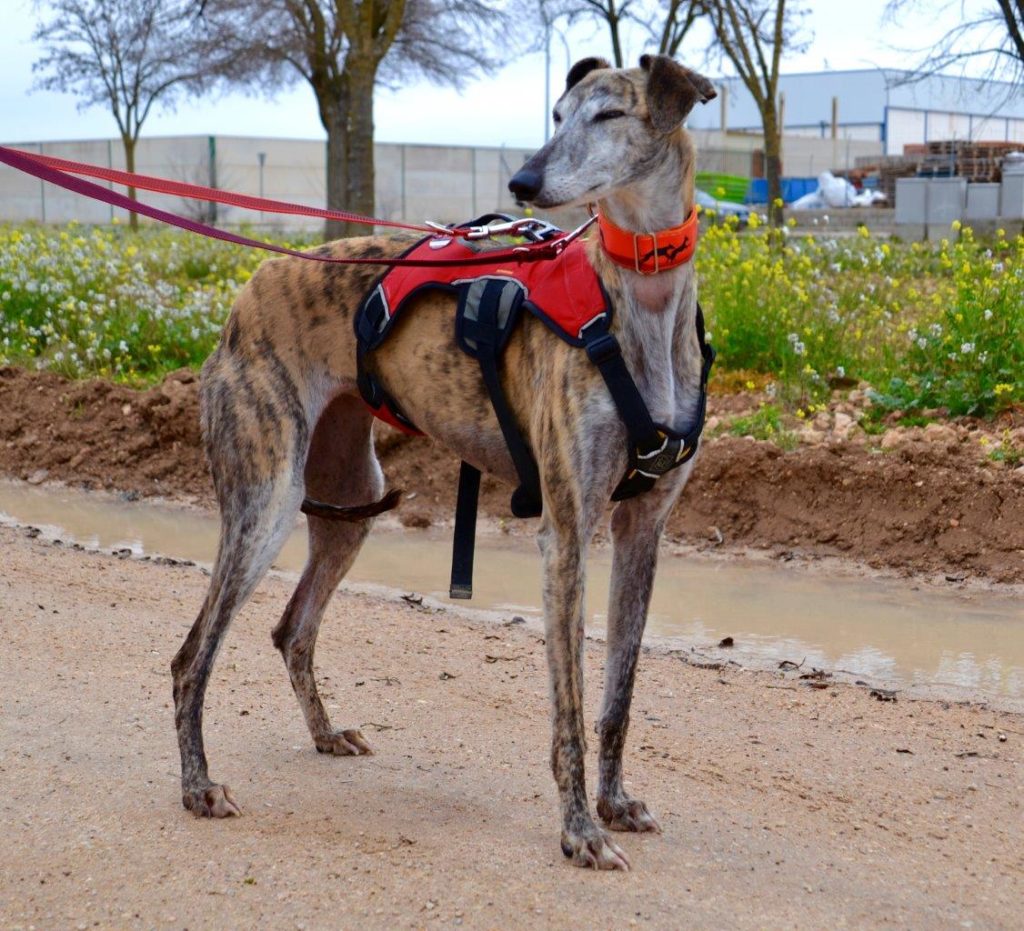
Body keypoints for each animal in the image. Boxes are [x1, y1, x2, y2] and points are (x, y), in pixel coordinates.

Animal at [169, 56, 712, 872]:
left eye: (610, 114)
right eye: (557, 114)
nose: (523, 181)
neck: (640, 301)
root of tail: (250, 290)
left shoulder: (643, 529)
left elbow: (617, 696)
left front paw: (615, 805)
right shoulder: (567, 530)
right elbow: (571, 708)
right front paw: (579, 831)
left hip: (347, 499)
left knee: (292, 628)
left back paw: (326, 734)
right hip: (264, 500)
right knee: (191, 657)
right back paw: (199, 786)